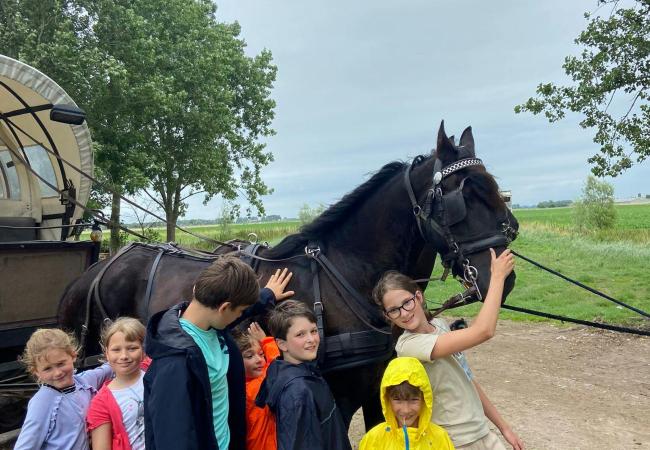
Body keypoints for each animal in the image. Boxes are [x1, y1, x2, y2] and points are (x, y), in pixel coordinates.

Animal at [59, 121, 516, 430]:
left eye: (497, 191)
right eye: (462, 198)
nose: (503, 277)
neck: (346, 275)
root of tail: (99, 268)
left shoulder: (374, 387)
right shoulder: (340, 394)